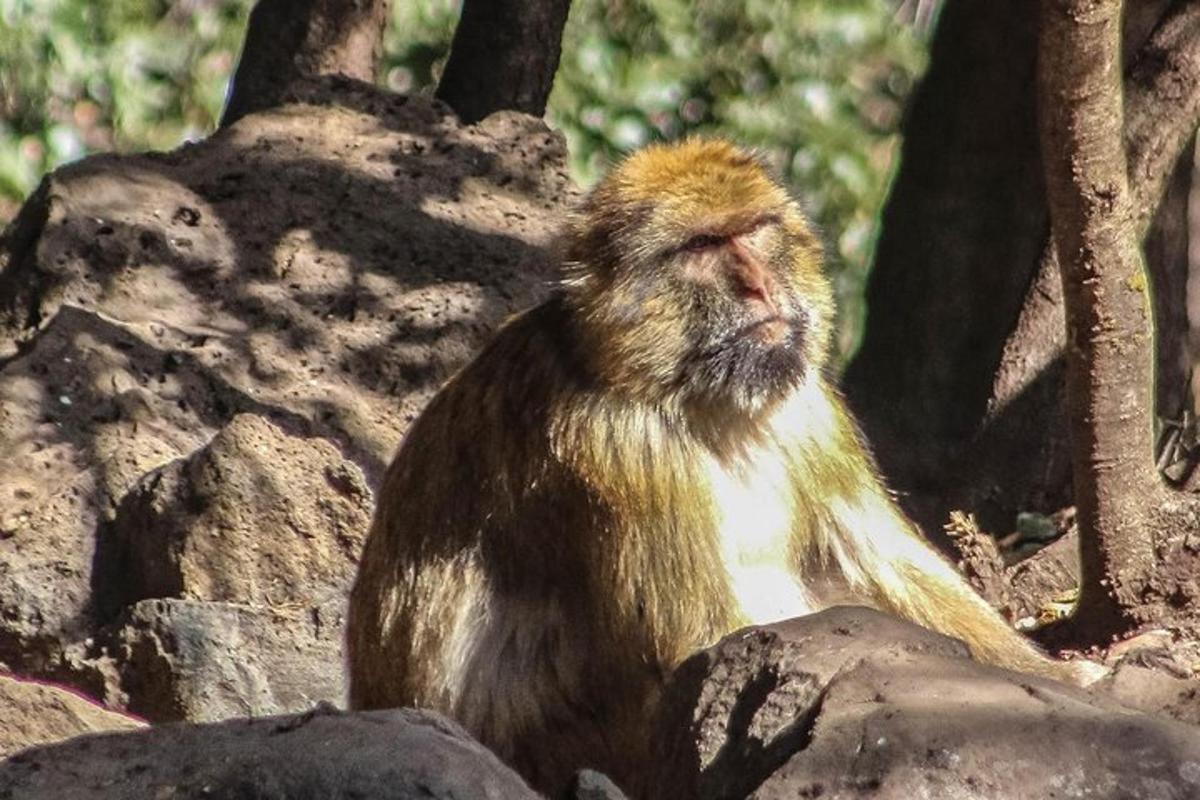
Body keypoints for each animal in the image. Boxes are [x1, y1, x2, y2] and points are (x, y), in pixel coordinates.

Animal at [345, 139, 1099, 800]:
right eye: (703, 248)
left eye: (753, 232)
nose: (759, 285)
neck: (696, 400)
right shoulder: (614, 448)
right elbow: (699, 648)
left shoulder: (805, 404)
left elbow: (877, 560)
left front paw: (1062, 676)